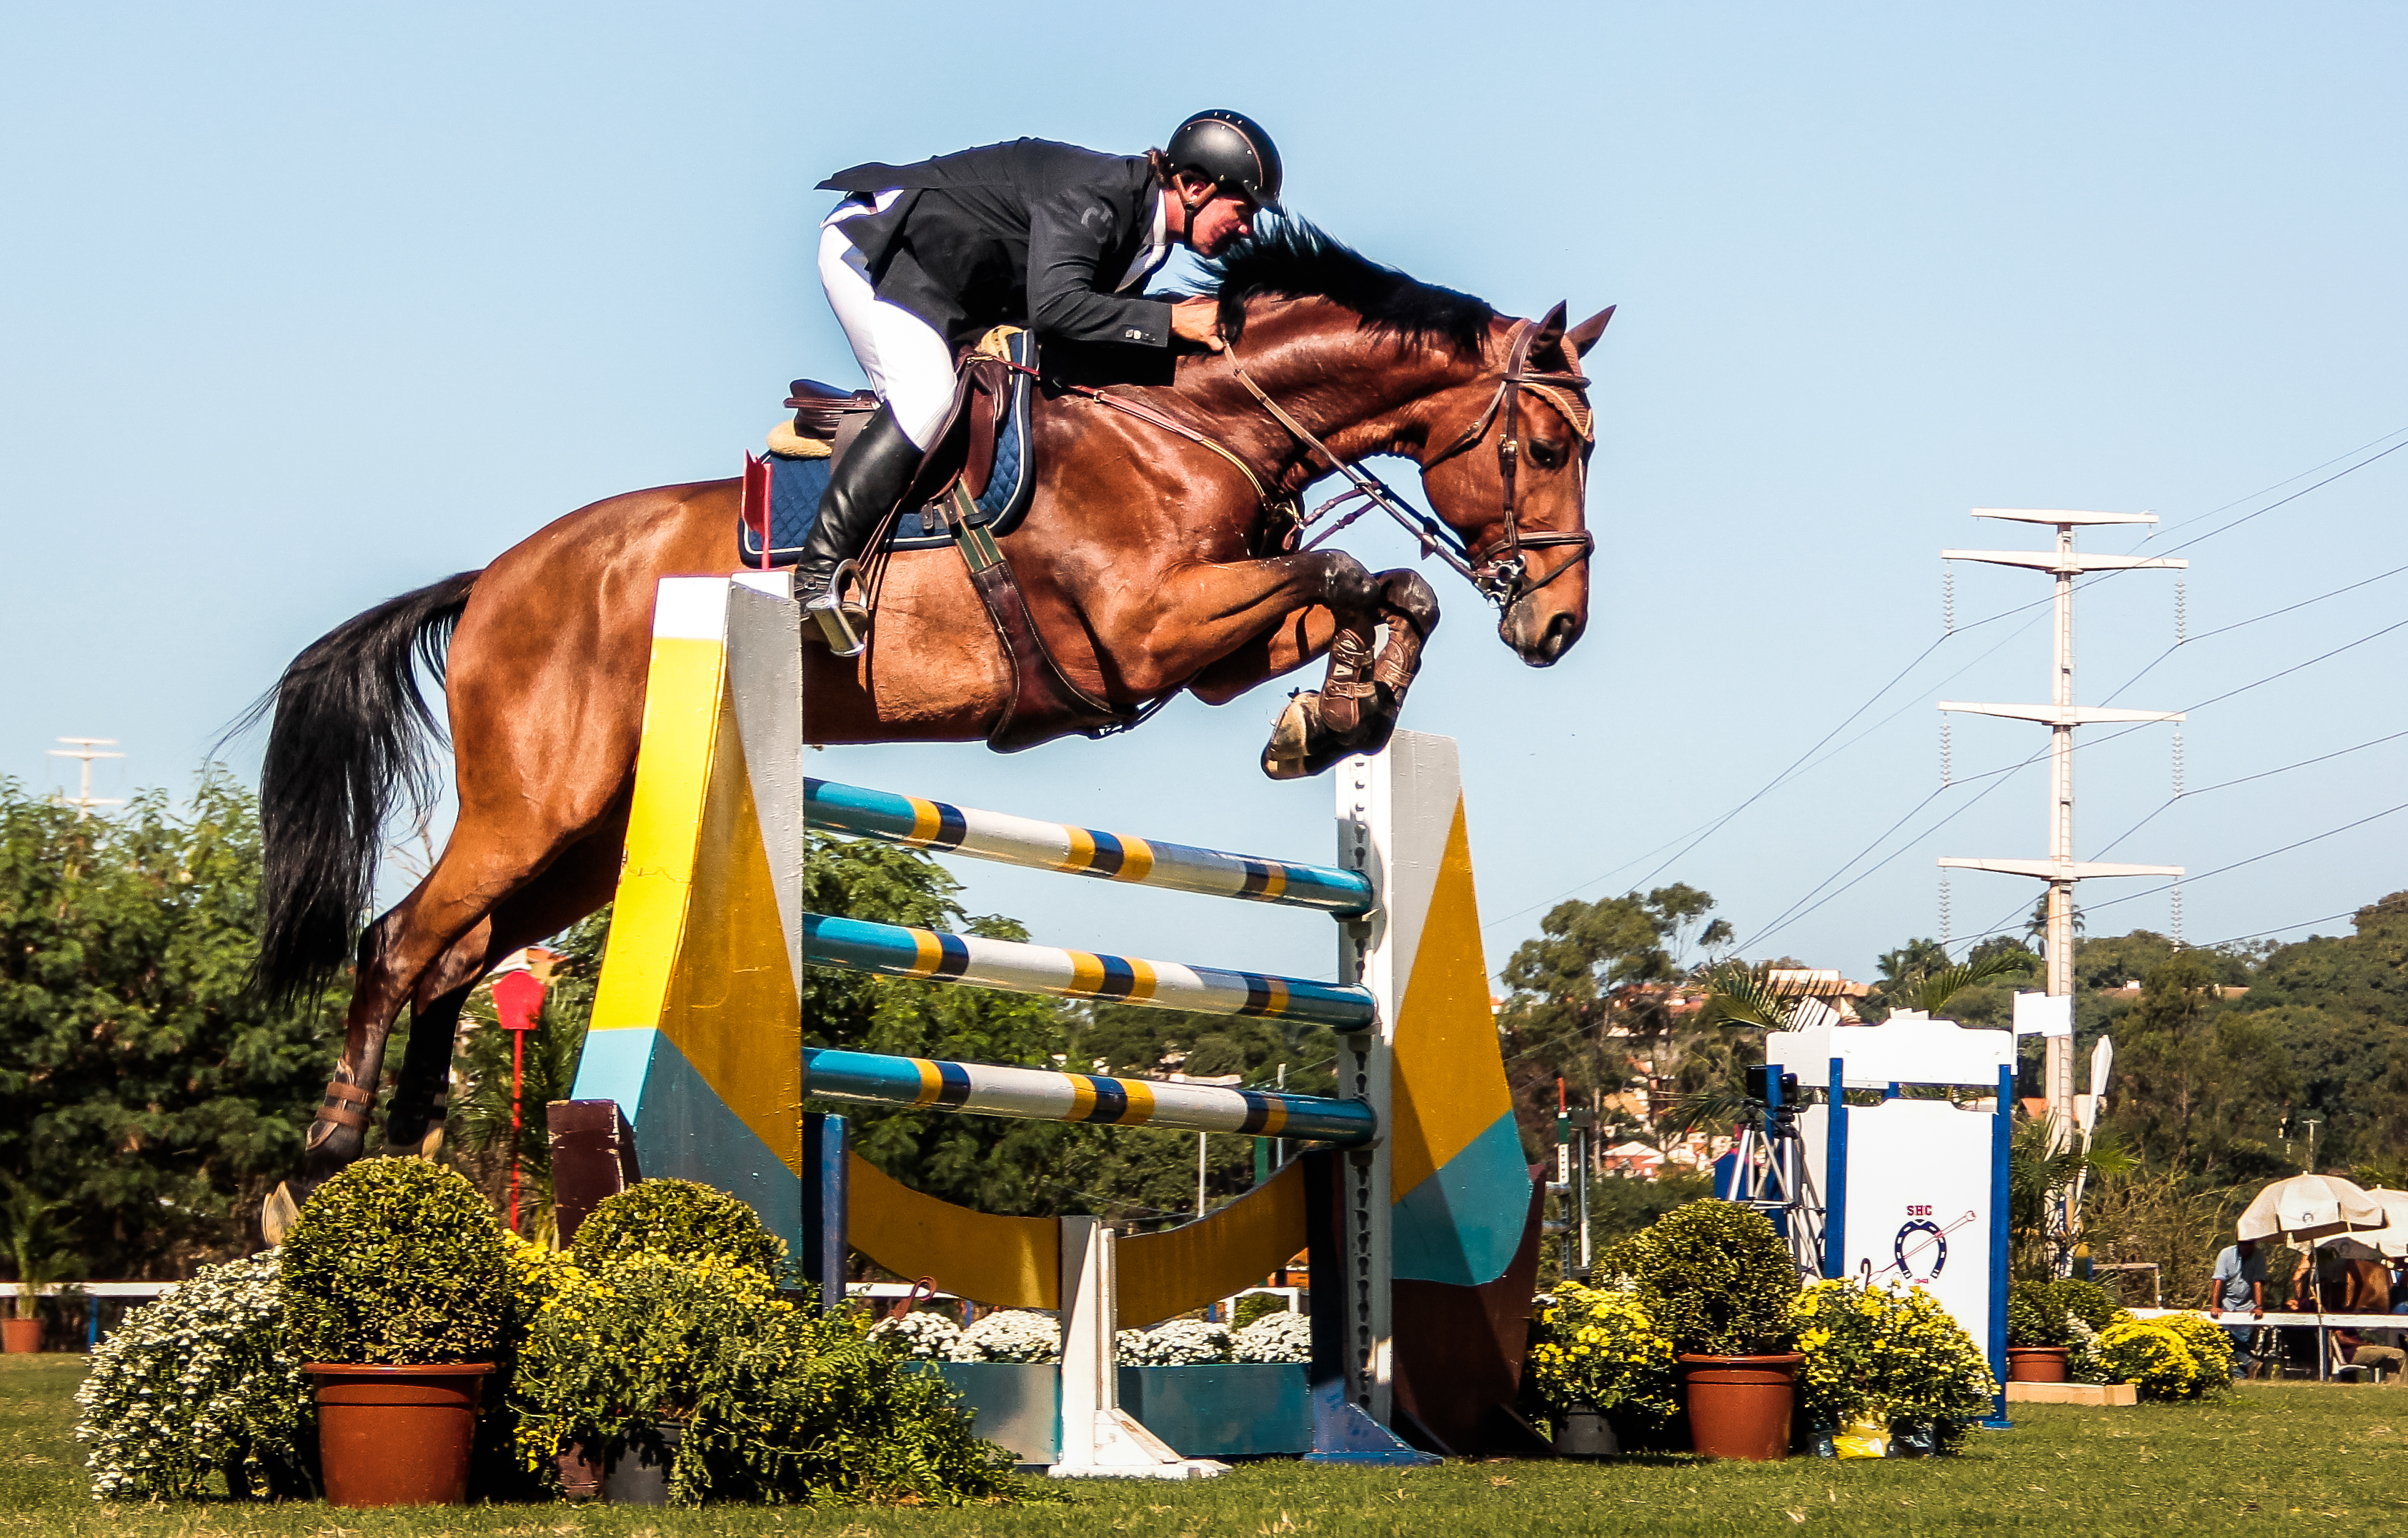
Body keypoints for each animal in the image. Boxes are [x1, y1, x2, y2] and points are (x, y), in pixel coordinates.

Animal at [249, 222, 1598, 1222]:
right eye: (1543, 446)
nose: (1559, 627)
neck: (1197, 424)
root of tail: (493, 578)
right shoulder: (1148, 627)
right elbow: (1341, 569)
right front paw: (1343, 701)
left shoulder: (1206, 651)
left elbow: (1385, 588)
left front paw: (1338, 712)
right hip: (536, 801)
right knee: (397, 943)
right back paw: (319, 1168)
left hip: (593, 835)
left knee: (457, 955)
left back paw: (409, 1166)